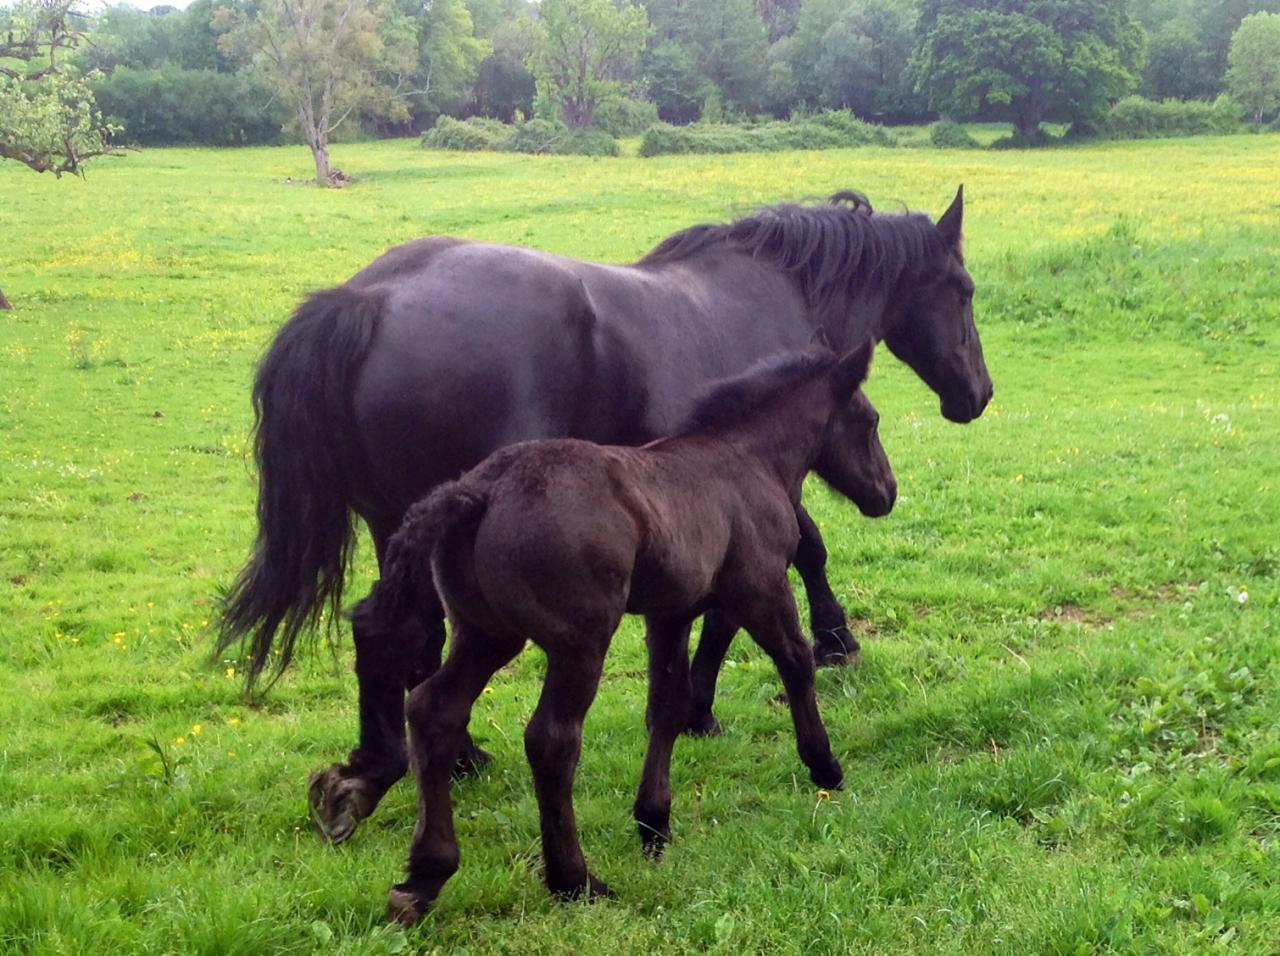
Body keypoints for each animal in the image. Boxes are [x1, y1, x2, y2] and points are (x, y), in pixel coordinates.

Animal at [220, 186, 993, 844]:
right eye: (964, 290)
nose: (977, 395)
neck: (773, 293)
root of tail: (368, 299)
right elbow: (795, 562)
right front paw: (819, 646)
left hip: (405, 531)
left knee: (399, 633)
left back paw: (440, 758)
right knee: (402, 633)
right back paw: (387, 770)